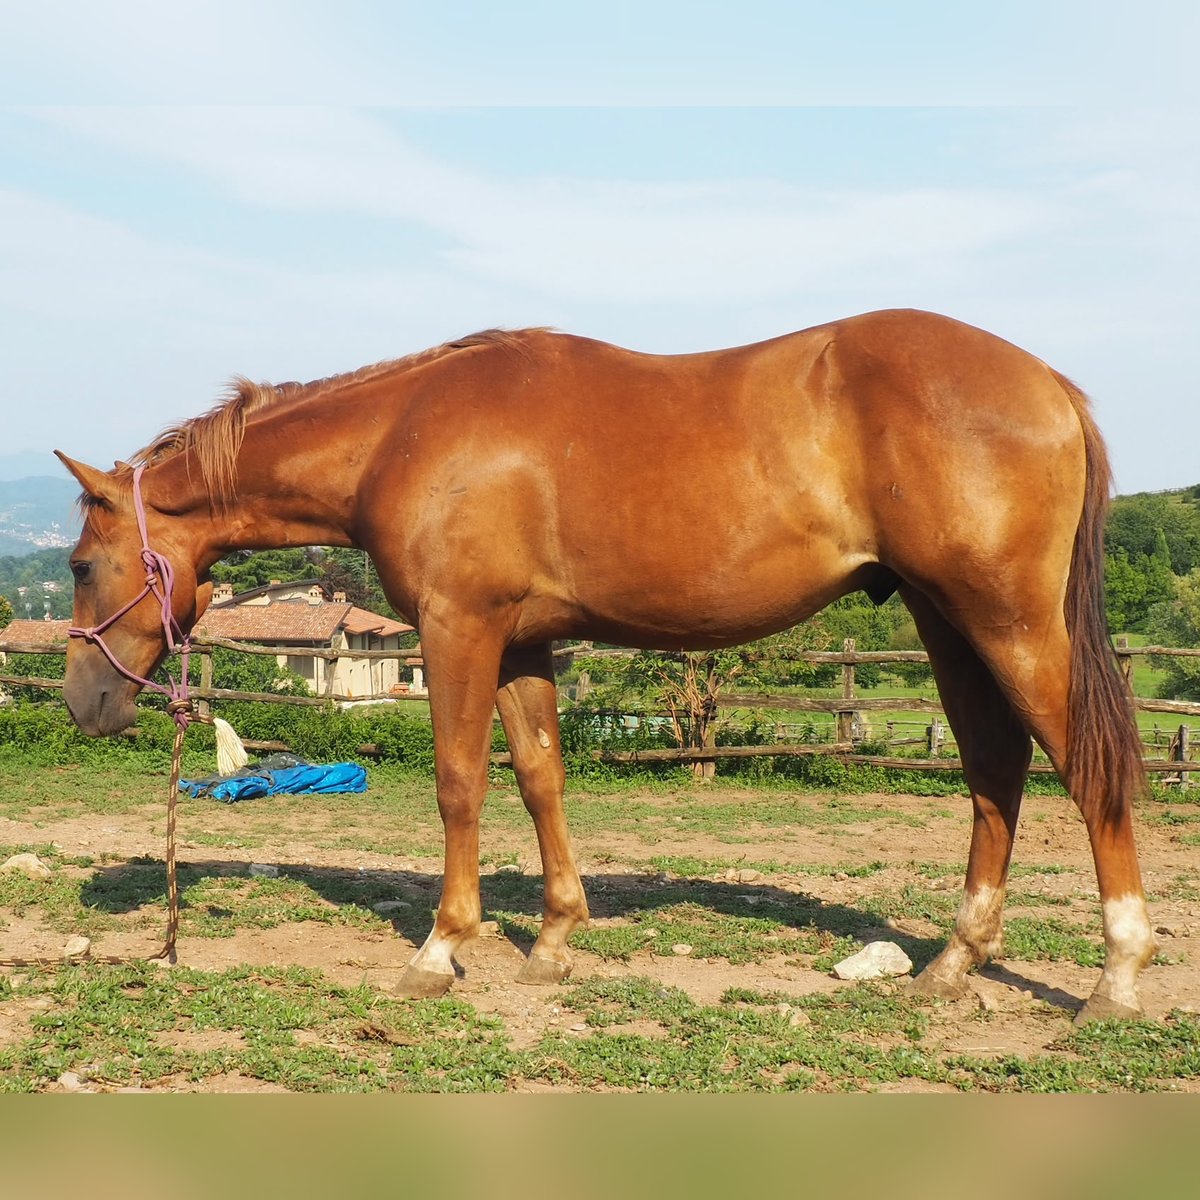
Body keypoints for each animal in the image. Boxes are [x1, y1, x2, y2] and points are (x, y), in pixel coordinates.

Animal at [56, 308, 1155, 1022]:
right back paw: (955, 962)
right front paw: (551, 941)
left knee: (1083, 770)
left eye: (80, 564)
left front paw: (442, 948)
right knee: (993, 769)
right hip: (945, 620)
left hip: (1008, 622)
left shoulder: (459, 629)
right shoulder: (523, 641)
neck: (401, 434)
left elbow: (460, 782)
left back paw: (1118, 976)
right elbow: (541, 777)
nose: (86, 702)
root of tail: (1050, 386)